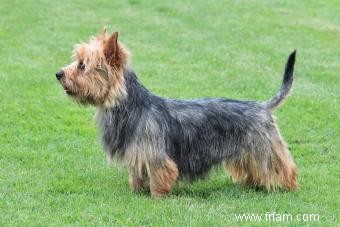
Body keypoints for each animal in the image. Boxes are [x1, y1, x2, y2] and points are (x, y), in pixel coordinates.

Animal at [55, 29, 298, 197]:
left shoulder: (156, 156)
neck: (132, 107)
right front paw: (138, 190)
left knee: (284, 167)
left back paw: (289, 186)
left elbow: (160, 176)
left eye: (82, 65)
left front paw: (157, 196)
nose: (58, 73)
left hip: (265, 148)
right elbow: (137, 175)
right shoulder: (137, 154)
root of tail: (262, 106)